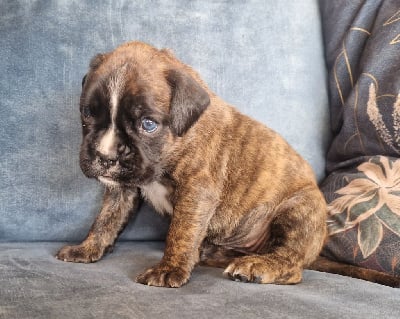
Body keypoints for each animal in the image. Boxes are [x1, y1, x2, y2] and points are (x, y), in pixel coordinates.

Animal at [56, 41, 400, 288]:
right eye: (87, 113)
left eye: (148, 124)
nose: (105, 157)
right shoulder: (122, 189)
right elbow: (106, 220)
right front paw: (87, 248)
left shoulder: (197, 190)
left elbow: (181, 232)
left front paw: (170, 268)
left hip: (297, 211)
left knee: (291, 264)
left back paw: (259, 265)